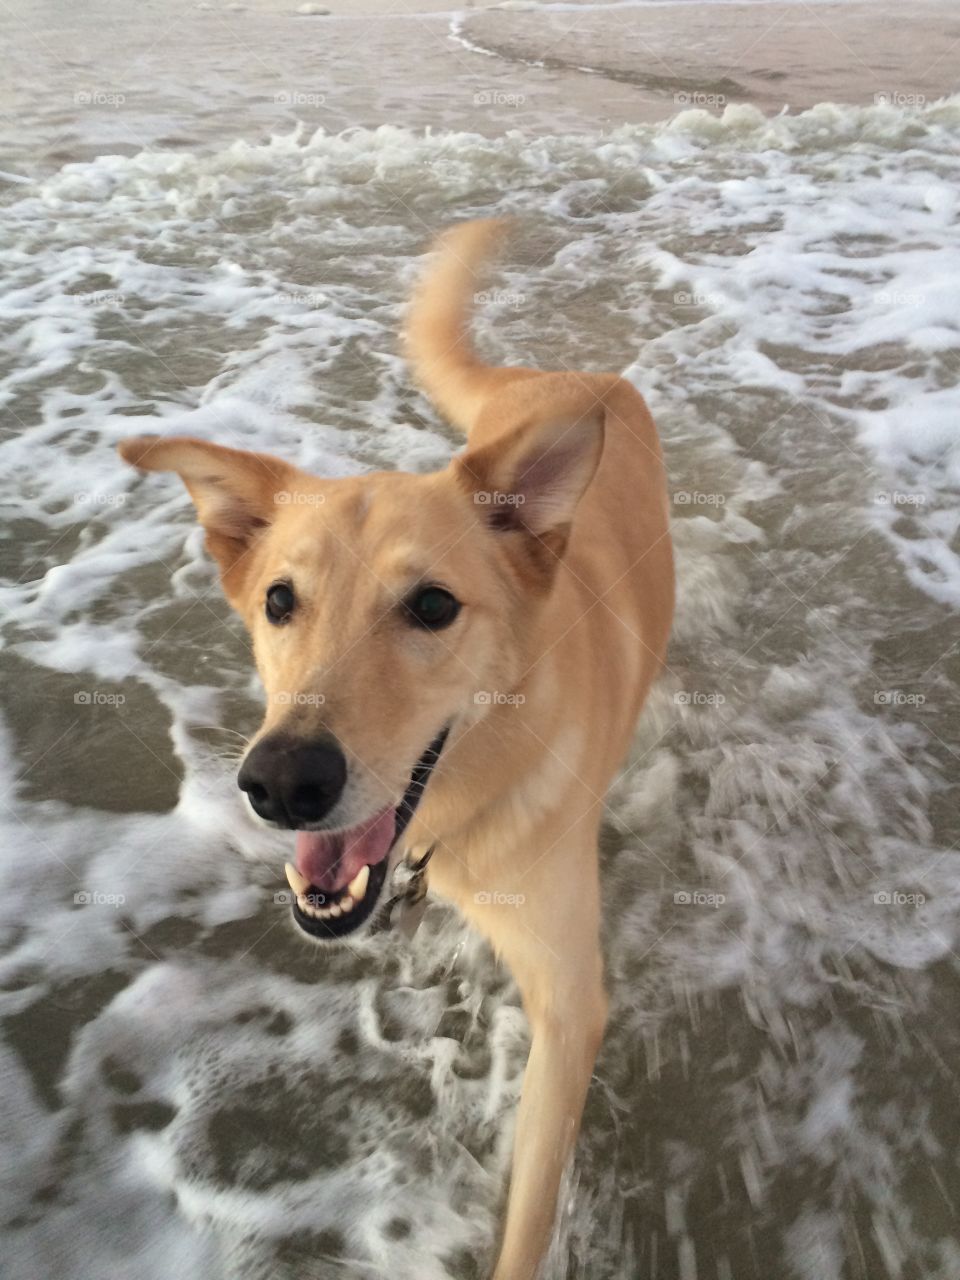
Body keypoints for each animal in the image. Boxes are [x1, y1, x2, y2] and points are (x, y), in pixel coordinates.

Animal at [118, 222, 675, 1280]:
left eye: (432, 607)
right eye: (278, 601)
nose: (282, 784)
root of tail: (559, 376)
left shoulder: (571, 1006)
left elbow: (529, 1213)